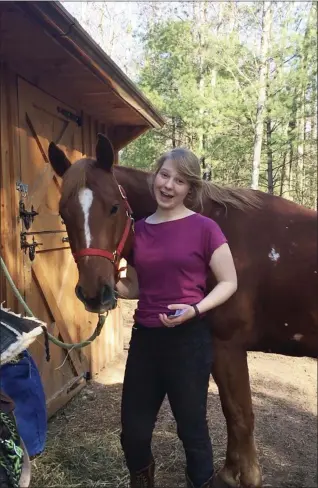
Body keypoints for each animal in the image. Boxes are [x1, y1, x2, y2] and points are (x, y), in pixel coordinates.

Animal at [47, 133, 318, 488]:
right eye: (64, 213)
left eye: (114, 207)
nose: (95, 293)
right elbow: (232, 415)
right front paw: (229, 473)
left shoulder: (228, 346)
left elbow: (240, 415)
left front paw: (246, 477)